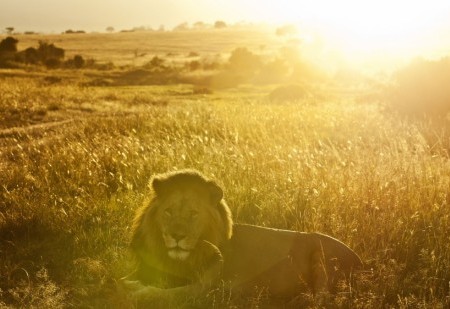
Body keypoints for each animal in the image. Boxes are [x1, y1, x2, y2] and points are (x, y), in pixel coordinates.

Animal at [121, 170, 364, 304]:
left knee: (323, 298)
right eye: (168, 211)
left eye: (193, 213)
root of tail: (360, 260)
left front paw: (134, 291)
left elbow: (163, 294)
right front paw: (129, 282)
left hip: (323, 256)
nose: (177, 236)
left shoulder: (208, 289)